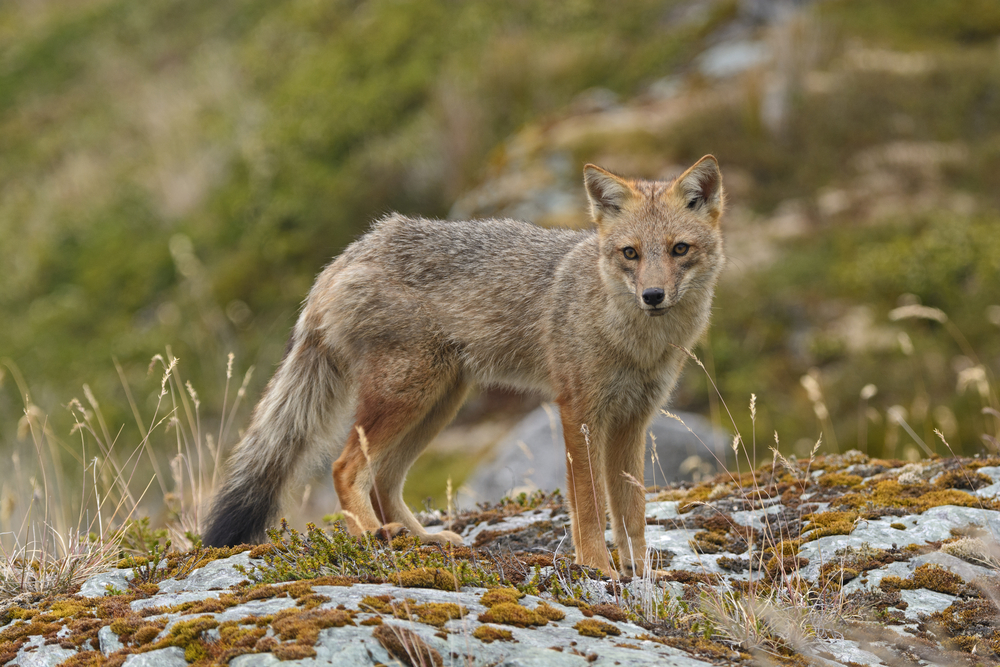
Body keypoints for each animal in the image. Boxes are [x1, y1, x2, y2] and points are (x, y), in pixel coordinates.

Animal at [201, 154, 728, 576]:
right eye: (630, 253)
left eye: (679, 249)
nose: (653, 296)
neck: (636, 341)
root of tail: (353, 251)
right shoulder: (579, 413)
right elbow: (591, 507)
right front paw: (598, 568)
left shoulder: (632, 421)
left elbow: (633, 511)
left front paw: (642, 572)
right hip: (407, 397)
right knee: (345, 468)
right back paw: (373, 536)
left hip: (438, 403)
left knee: (384, 481)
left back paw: (420, 538)